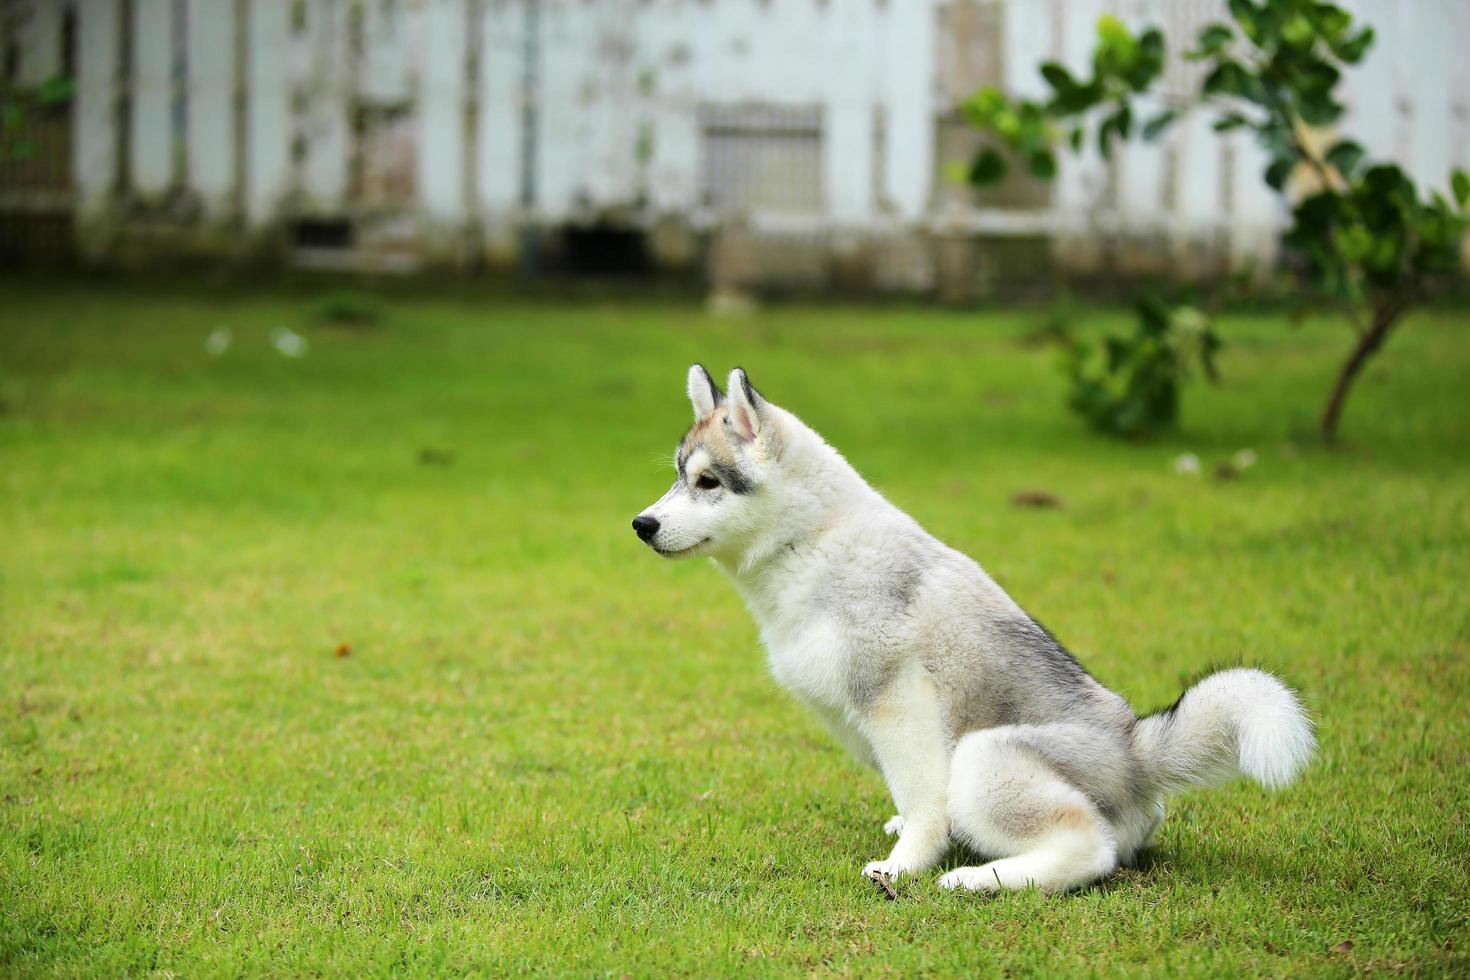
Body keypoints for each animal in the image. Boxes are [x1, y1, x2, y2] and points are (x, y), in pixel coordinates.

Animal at [626, 364, 1317, 893]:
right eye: (677, 476)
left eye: (708, 481)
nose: (641, 524)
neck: (812, 541)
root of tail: (1137, 750)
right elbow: (912, 799)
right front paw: (905, 832)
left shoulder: (899, 706)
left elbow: (923, 802)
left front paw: (904, 866)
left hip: (984, 758)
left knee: (1089, 850)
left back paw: (978, 879)